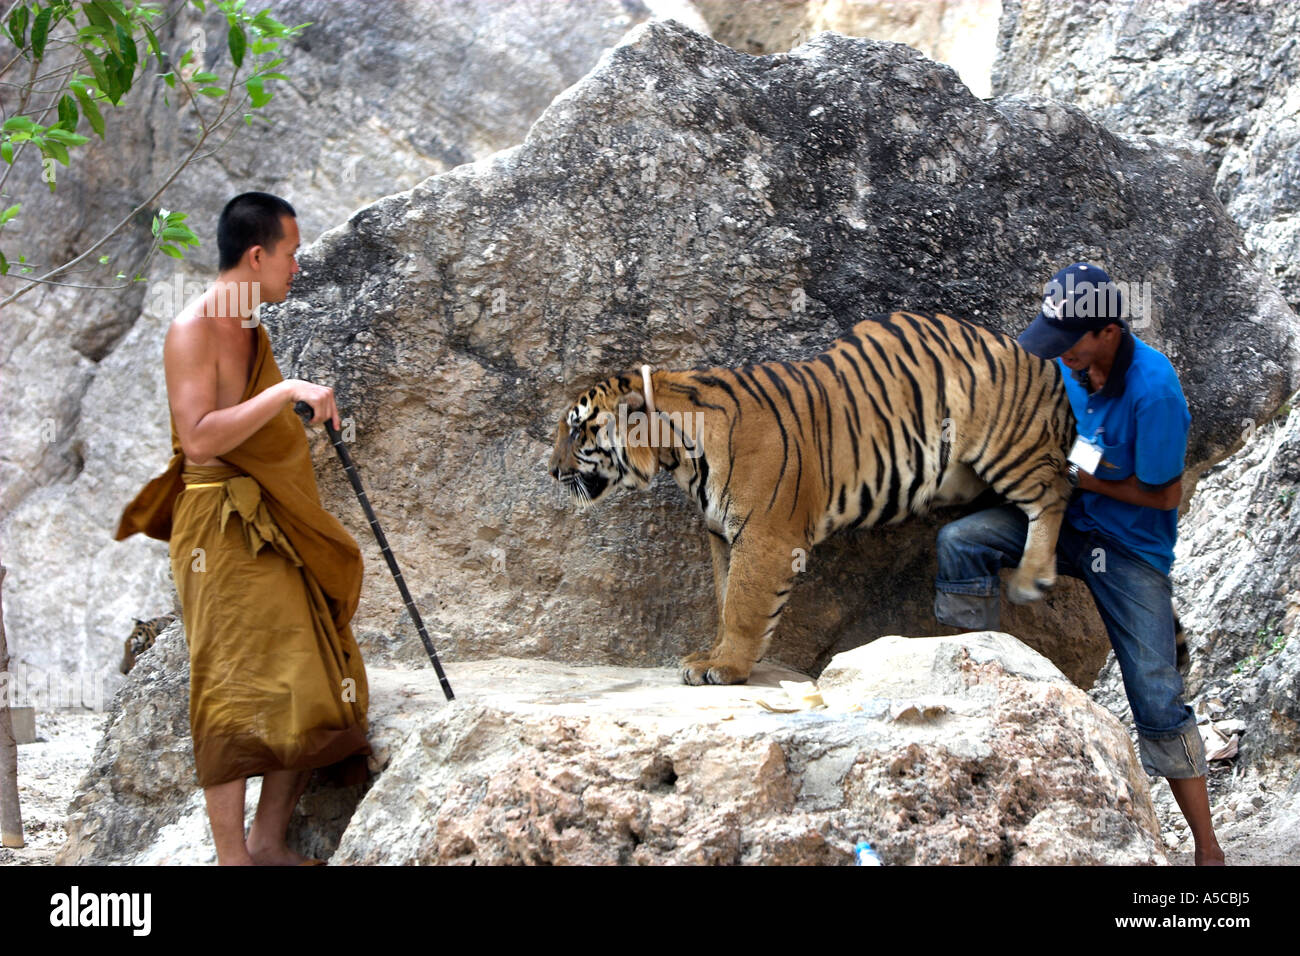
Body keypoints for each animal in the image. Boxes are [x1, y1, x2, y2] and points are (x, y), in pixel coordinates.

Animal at [548, 310, 1076, 685]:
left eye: (577, 430)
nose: (551, 471)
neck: (678, 453)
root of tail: (1039, 361)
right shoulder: (723, 536)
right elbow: (723, 598)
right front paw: (712, 654)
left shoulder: (764, 537)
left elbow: (742, 605)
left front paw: (728, 667)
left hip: (1007, 445)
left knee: (1055, 490)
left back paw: (1031, 577)